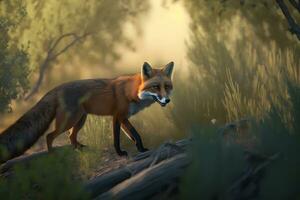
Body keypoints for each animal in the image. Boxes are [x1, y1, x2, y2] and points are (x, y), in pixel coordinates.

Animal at [0, 61, 175, 163]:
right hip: (69, 121)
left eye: (167, 87)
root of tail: (56, 88)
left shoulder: (122, 118)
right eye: (155, 87)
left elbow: (133, 136)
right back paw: (52, 155)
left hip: (80, 119)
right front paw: (120, 153)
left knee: (71, 136)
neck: (132, 92)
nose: (167, 100)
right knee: (49, 136)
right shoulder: (118, 116)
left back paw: (79, 148)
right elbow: (122, 138)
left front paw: (141, 149)